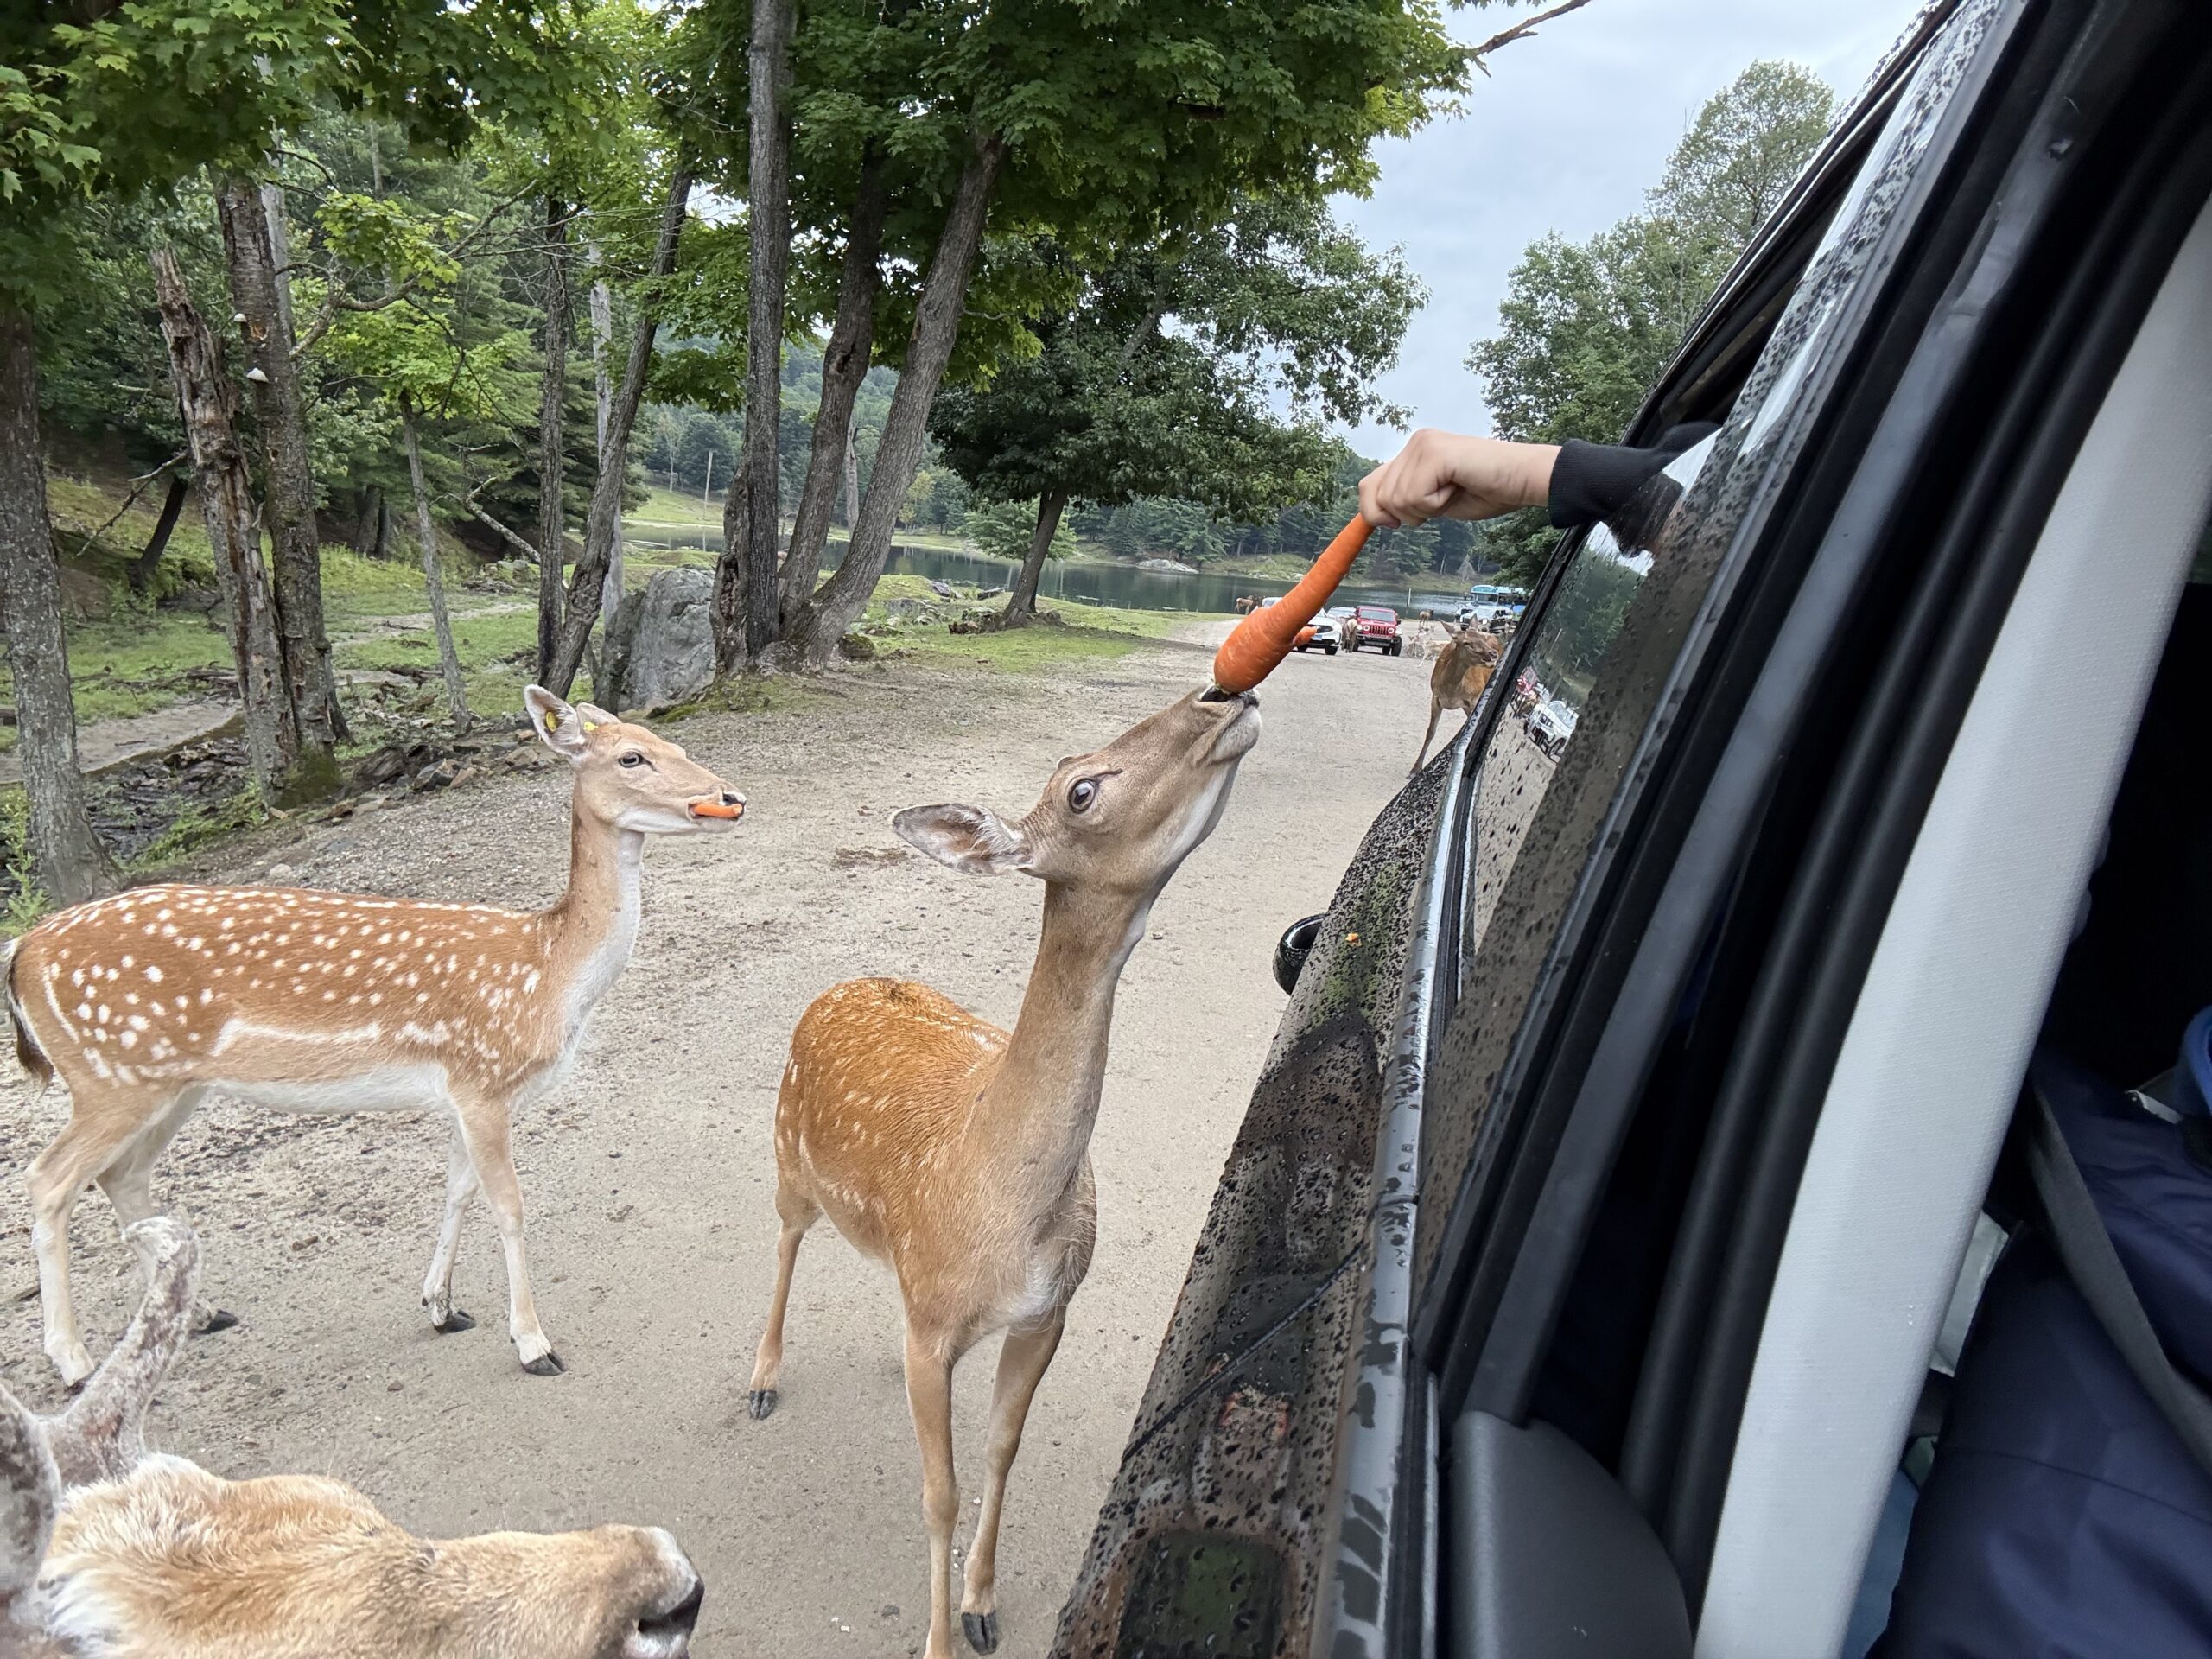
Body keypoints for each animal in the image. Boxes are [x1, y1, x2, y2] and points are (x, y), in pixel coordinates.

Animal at [3, 686, 744, 1387]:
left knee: (120, 1175)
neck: (546, 972)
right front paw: (534, 1344)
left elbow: (456, 1190)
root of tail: (21, 952)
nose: (728, 797)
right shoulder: (482, 1078)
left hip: (169, 1084)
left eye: (672, 743)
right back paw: (73, 1360)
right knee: (49, 1180)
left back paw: (201, 1312)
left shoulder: (462, 1092)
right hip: (110, 1076)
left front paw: (442, 1306)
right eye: (632, 758)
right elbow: (509, 1206)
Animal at [744, 685, 1260, 1659]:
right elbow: (938, 1494)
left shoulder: (1048, 1312)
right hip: (787, 1151)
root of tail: (838, 986)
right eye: (1081, 791)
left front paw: (983, 1605)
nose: (1222, 698)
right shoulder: (943, 1329)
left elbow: (999, 1450)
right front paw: (941, 1638)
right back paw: (760, 1381)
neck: (1005, 1207)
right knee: (785, 1242)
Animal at [1412, 623, 1504, 774]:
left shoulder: (1474, 700)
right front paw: (1415, 768)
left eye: (1482, 639)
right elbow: (1430, 732)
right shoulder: (1436, 698)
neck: (1451, 691)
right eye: (1466, 643)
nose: (1493, 653)